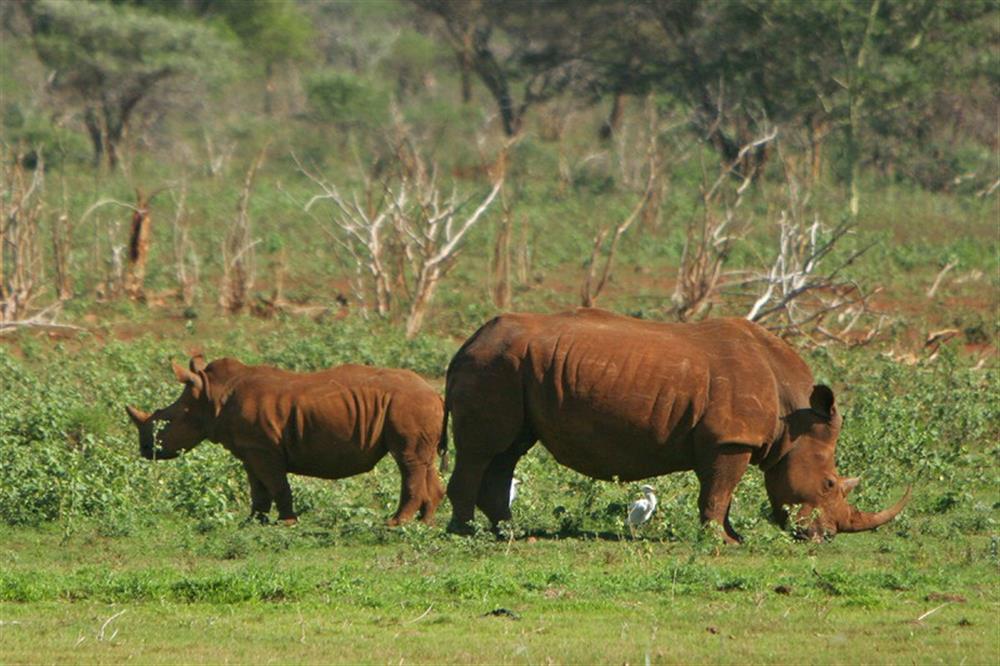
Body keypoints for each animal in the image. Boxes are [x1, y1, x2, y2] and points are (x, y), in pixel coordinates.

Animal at [128, 352, 446, 524]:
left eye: (167, 421)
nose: (145, 448)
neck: (211, 395)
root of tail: (434, 393)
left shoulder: (264, 448)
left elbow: (277, 484)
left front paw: (286, 523)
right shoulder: (250, 449)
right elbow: (258, 488)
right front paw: (252, 522)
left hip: (408, 404)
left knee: (408, 461)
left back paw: (395, 523)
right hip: (416, 406)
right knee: (423, 461)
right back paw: (425, 523)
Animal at [442, 306, 912, 540]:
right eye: (830, 483)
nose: (826, 536)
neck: (793, 417)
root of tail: (466, 344)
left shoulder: (725, 440)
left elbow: (718, 493)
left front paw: (732, 538)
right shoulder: (731, 440)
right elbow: (720, 491)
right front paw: (720, 543)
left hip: (511, 366)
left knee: (507, 452)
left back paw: (507, 532)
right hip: (494, 366)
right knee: (482, 451)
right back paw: (465, 534)